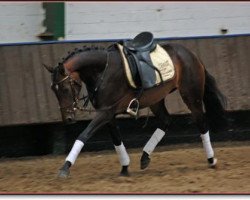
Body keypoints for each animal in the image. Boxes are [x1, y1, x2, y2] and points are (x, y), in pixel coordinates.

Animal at [43, 33, 227, 178]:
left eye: (65, 88)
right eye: (53, 90)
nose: (68, 118)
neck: (103, 71)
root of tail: (193, 55)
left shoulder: (105, 112)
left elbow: (83, 135)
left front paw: (65, 167)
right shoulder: (108, 114)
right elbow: (116, 139)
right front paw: (125, 168)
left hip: (191, 96)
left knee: (201, 123)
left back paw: (211, 160)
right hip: (156, 99)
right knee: (166, 121)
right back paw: (145, 157)